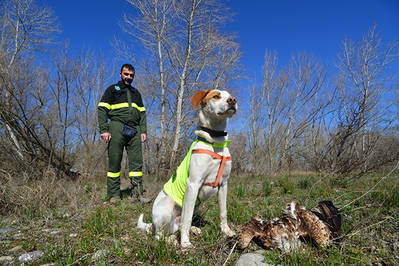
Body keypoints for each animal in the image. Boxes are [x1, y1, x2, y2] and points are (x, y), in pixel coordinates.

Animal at [138, 89, 238, 249]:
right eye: (216, 96)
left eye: (230, 96)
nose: (233, 101)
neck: (215, 142)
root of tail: (152, 225)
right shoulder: (193, 184)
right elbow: (187, 219)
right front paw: (185, 243)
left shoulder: (224, 184)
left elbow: (223, 212)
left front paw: (226, 231)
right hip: (167, 208)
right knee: (160, 236)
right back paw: (172, 240)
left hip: (195, 205)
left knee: (178, 226)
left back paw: (193, 230)